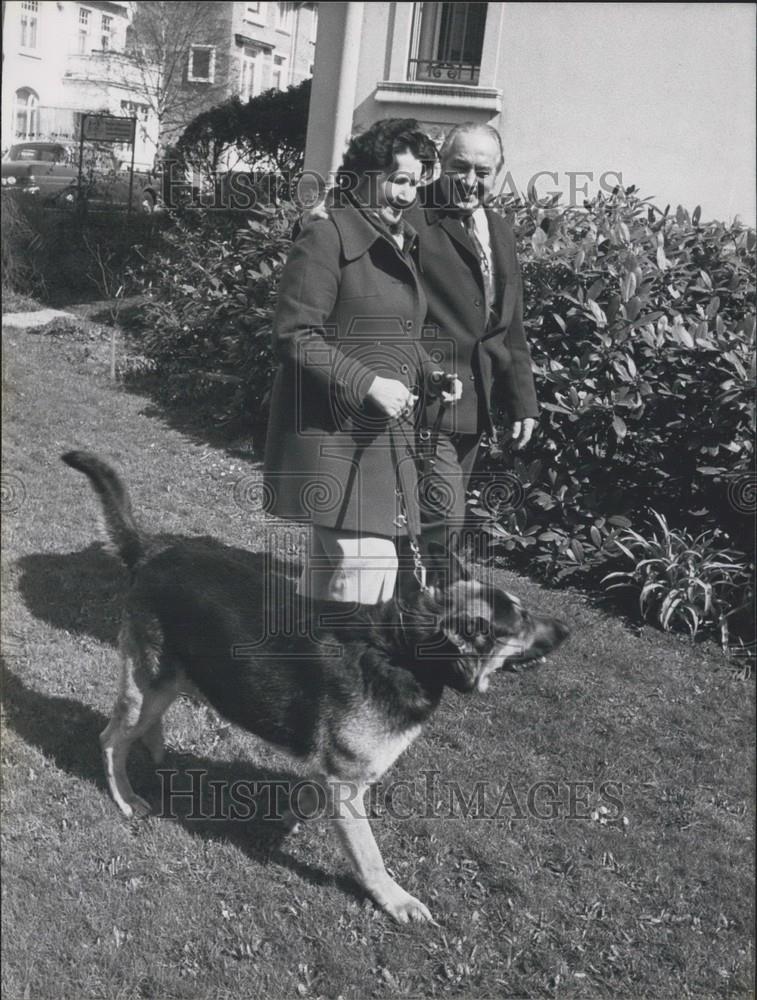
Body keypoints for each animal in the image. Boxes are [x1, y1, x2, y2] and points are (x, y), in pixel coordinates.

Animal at [62, 452, 568, 920]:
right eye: (521, 622)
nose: (567, 630)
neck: (406, 652)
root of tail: (151, 550)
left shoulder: (334, 776)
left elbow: (309, 796)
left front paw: (286, 818)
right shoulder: (347, 782)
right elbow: (369, 856)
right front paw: (395, 900)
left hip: (167, 682)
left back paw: (155, 750)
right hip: (146, 688)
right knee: (110, 740)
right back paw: (127, 796)